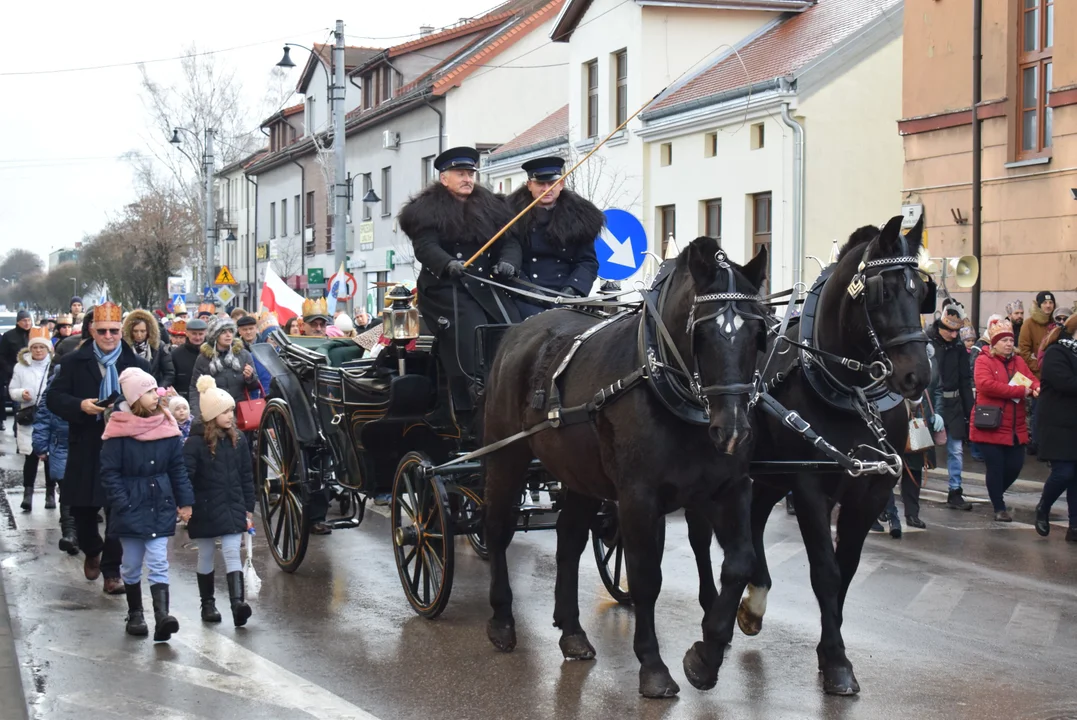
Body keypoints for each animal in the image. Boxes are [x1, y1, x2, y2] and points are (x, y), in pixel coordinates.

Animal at [484, 238, 771, 697]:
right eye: (701, 333)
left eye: (759, 334)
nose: (732, 431)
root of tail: (519, 330)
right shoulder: (638, 498)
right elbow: (645, 578)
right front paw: (653, 666)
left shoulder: (730, 488)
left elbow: (740, 563)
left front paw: (705, 657)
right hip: (505, 455)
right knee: (497, 529)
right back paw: (502, 620)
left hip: (579, 473)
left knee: (569, 540)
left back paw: (572, 632)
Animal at [693, 216, 930, 693]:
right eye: (884, 291)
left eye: (921, 293)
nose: (918, 374)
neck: (849, 392)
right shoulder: (807, 484)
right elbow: (825, 571)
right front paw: (836, 660)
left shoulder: (871, 489)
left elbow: (847, 569)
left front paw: (830, 651)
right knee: (699, 536)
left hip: (768, 473)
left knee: (754, 520)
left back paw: (754, 601)